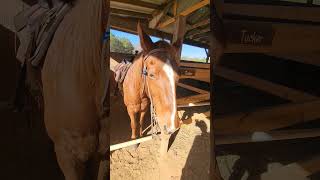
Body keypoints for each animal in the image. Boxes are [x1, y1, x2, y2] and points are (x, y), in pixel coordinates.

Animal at [123, 23, 182, 154]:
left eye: (178, 75)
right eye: (151, 75)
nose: (172, 126)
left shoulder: (144, 107)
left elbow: (140, 121)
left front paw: (140, 135)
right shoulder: (131, 109)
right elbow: (133, 124)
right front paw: (134, 141)